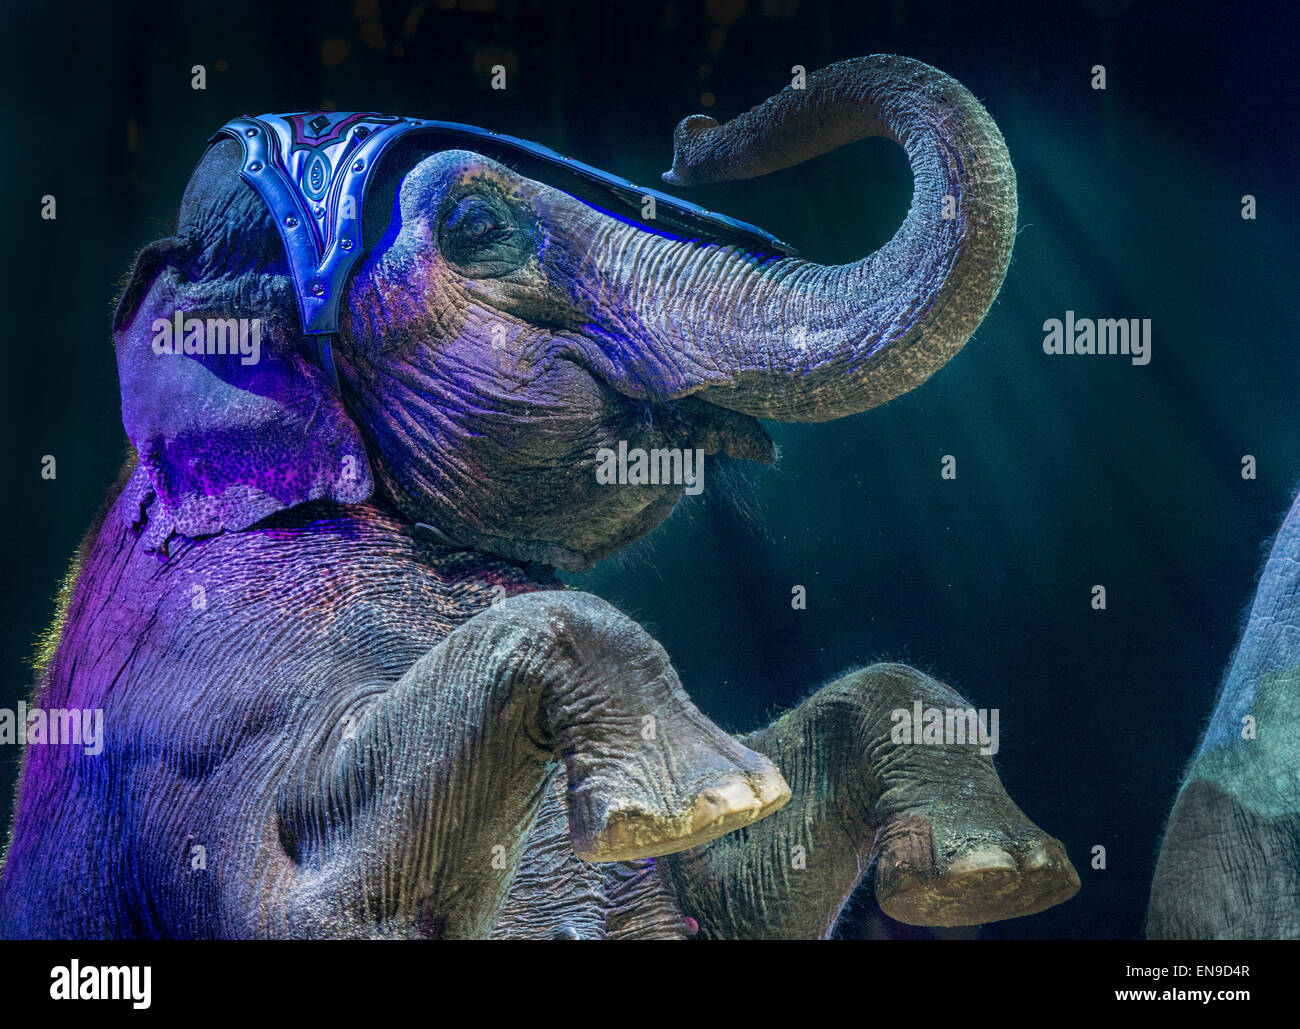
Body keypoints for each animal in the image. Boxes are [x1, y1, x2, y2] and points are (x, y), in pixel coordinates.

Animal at [0, 54, 1080, 939]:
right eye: (477, 226)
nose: (691, 141)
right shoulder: (197, 700)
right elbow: (307, 902)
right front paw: (698, 799)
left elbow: (748, 887)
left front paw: (993, 876)